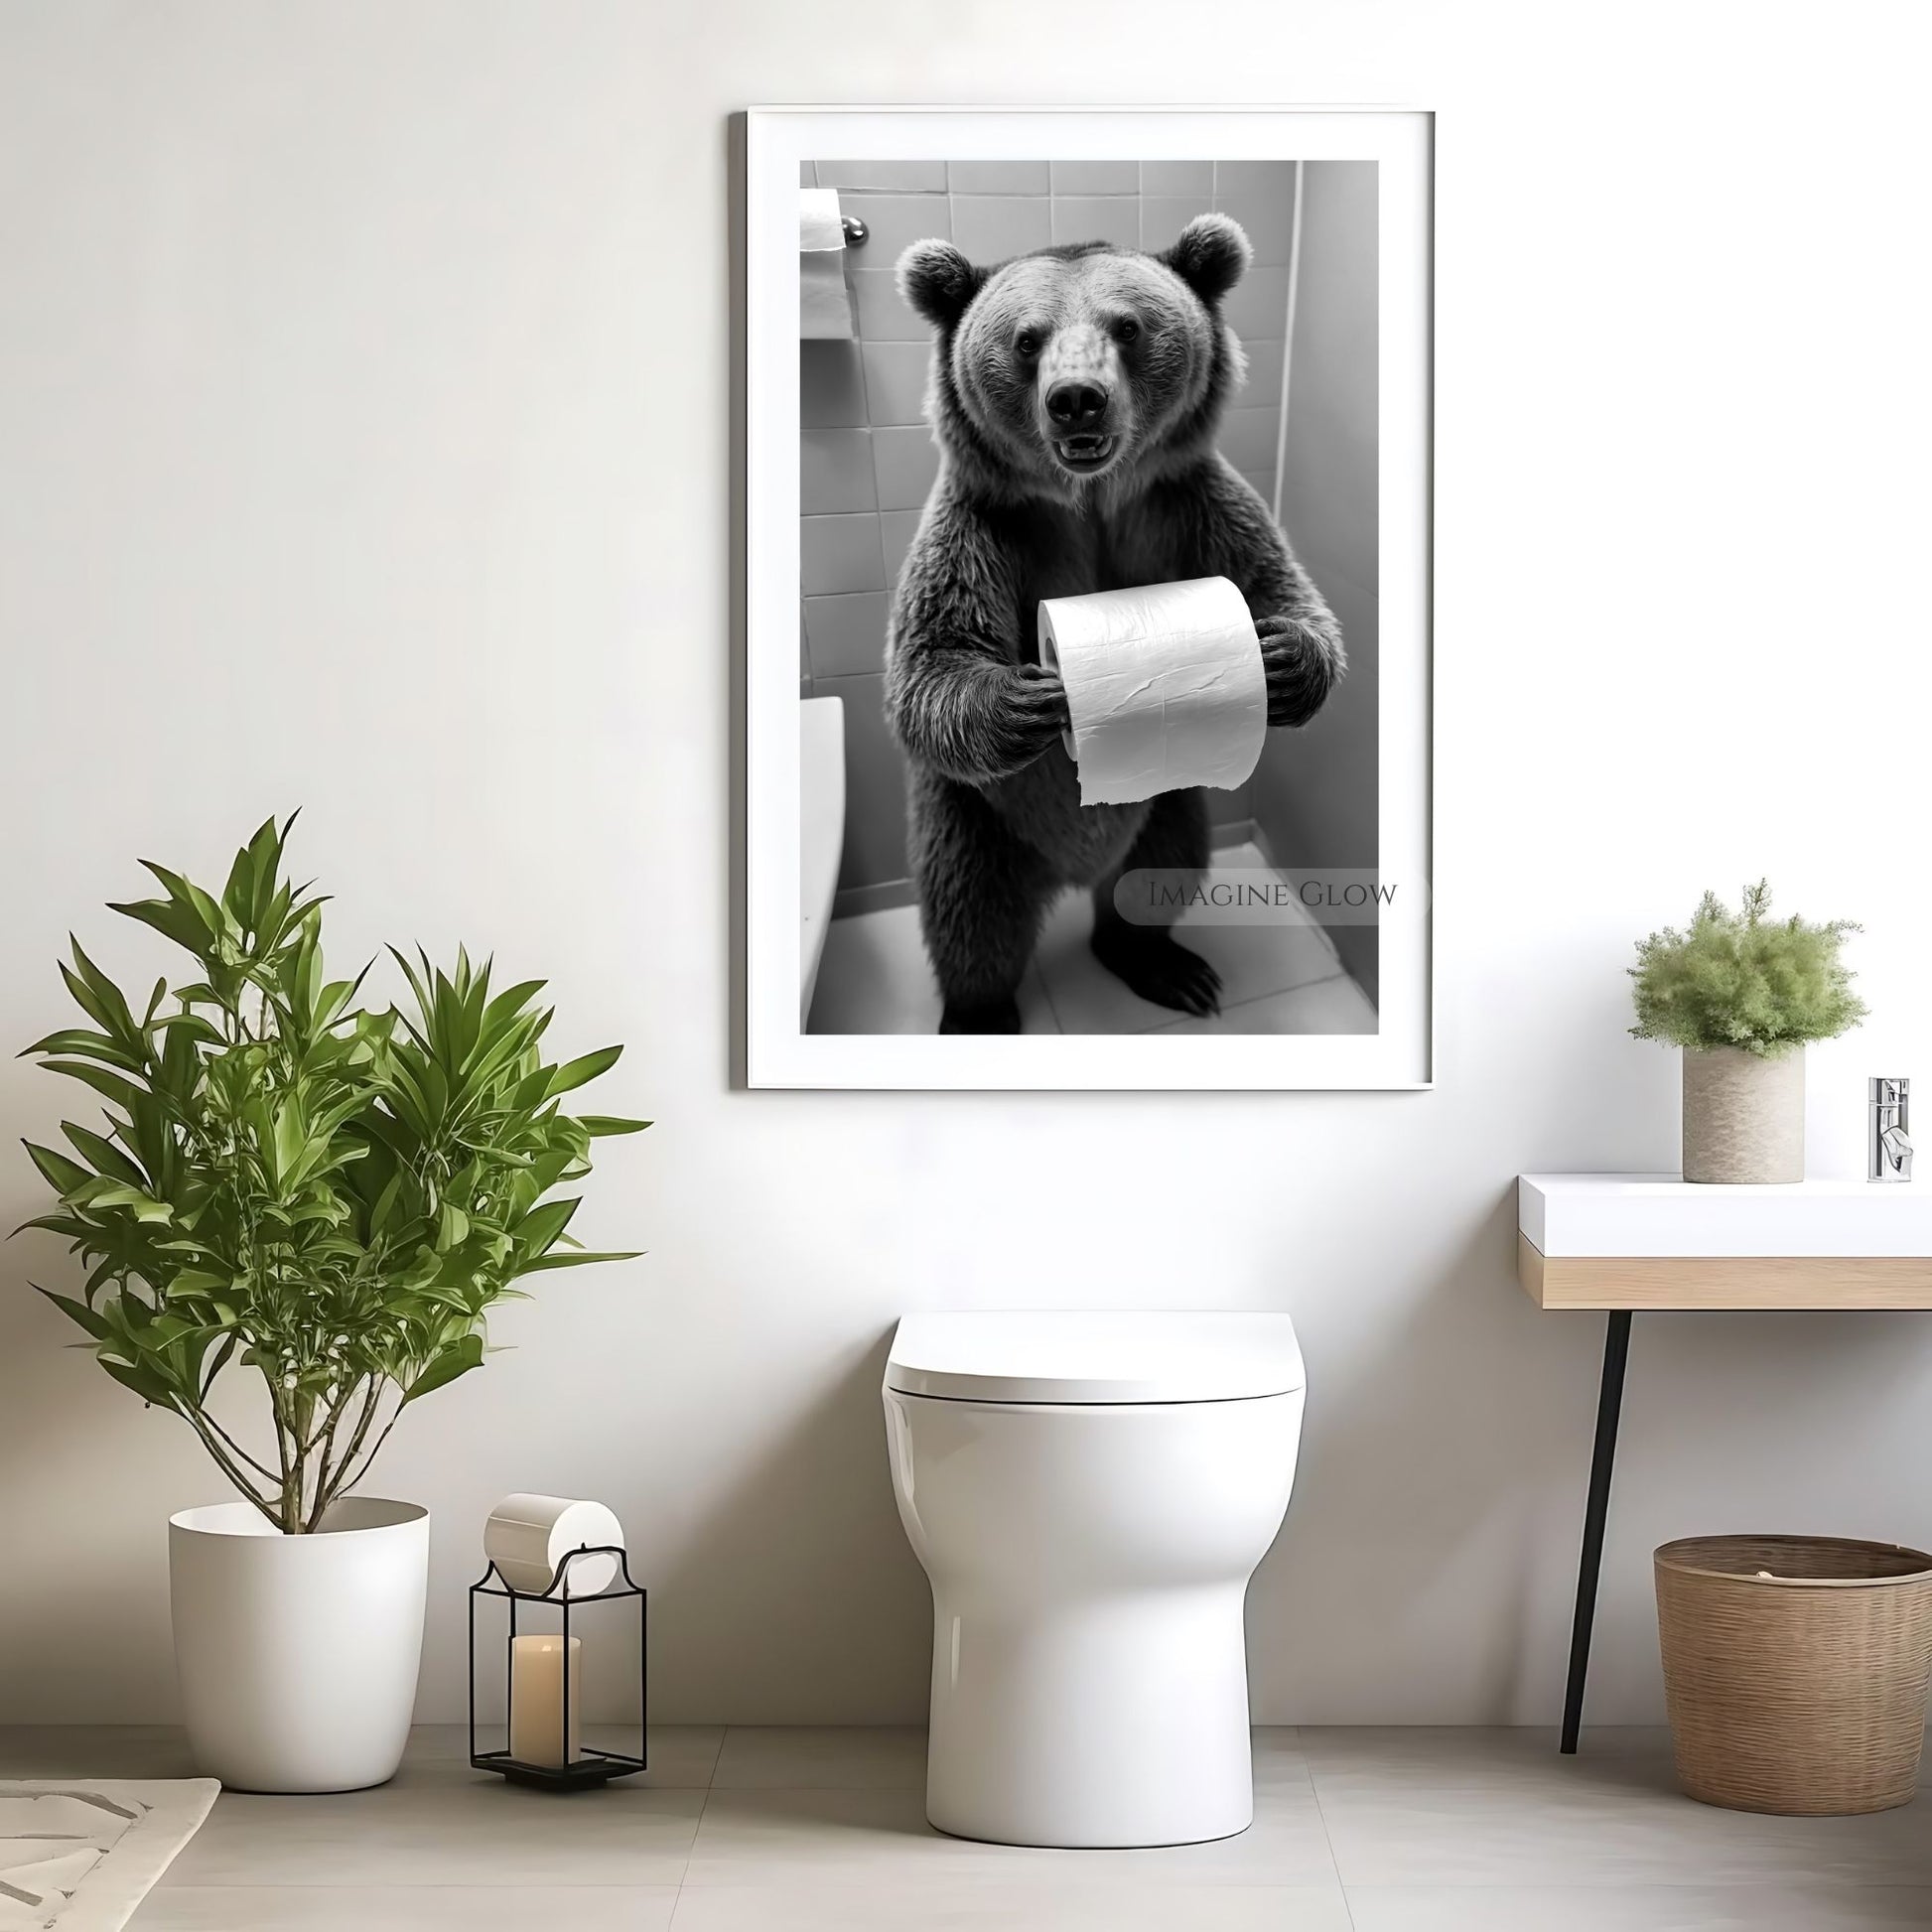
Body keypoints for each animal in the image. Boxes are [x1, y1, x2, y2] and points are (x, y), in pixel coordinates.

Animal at [882, 213, 1344, 1035]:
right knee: (969, 911)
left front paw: (1288, 659)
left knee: (1163, 865)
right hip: (975, 817)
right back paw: (979, 1012)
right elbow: (934, 661)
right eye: (1026, 339)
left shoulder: (1191, 504)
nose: (1076, 399)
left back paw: (1161, 962)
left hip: (1166, 799)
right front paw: (1026, 699)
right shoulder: (985, 529)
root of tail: (1066, 873)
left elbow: (1282, 586)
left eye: (1127, 326)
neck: (1091, 498)